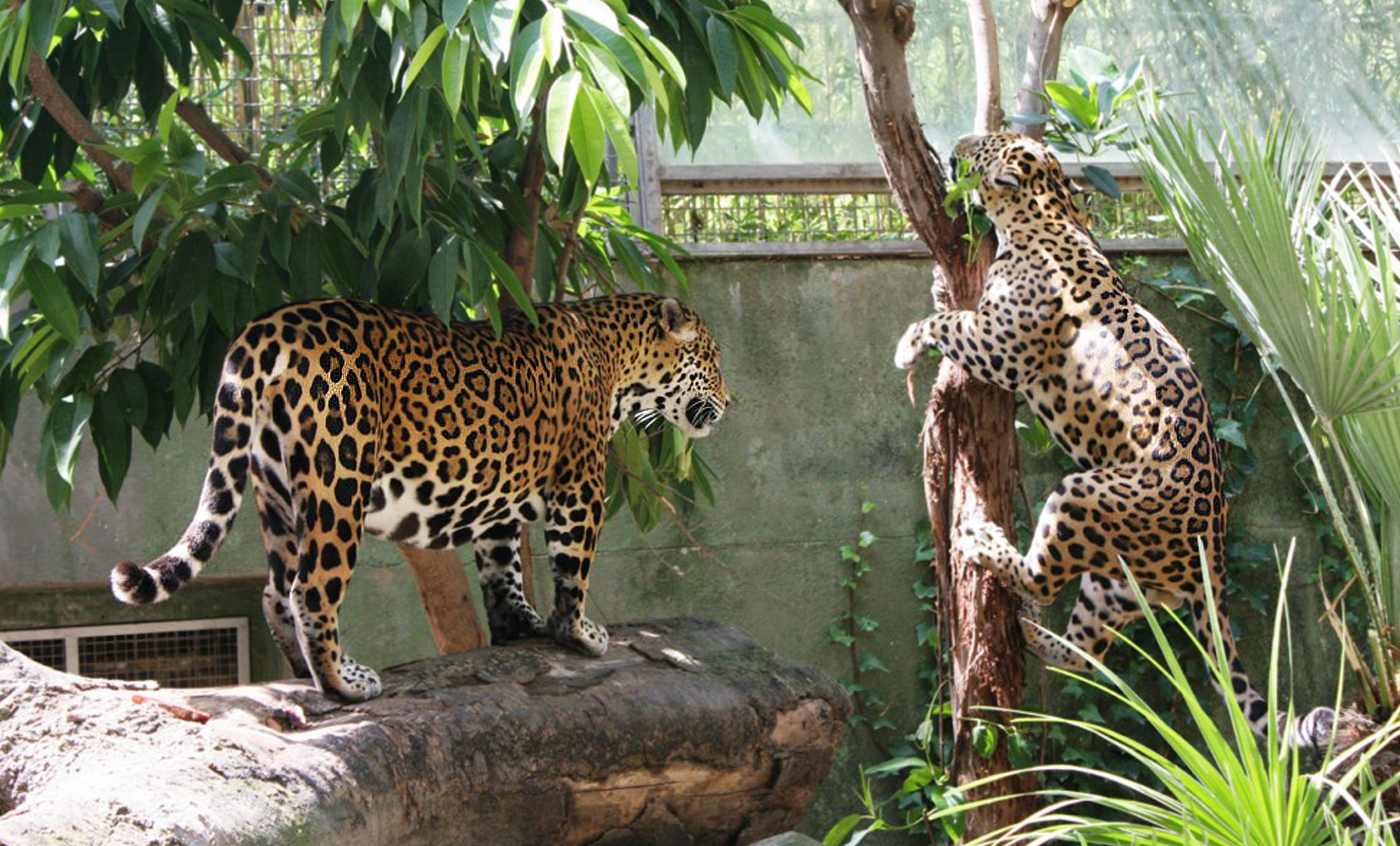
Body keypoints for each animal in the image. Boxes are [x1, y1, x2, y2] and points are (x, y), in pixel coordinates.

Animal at [111, 293, 729, 702]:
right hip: (339, 479)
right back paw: (345, 682)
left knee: (273, 591)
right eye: (714, 359)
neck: (618, 357)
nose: (730, 401)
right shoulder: (580, 482)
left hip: (275, 489)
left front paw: (519, 626)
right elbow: (573, 565)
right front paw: (579, 633)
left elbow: (501, 567)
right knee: (310, 589)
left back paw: (304, 674)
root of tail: (265, 328)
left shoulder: (497, 495)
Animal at [894, 132, 1333, 743]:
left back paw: (985, 544)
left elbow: (950, 324)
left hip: (1083, 496)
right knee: (1088, 654)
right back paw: (1032, 635)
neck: (1050, 210)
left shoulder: (1000, 346)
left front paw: (909, 342)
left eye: (982, 146)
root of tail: (1211, 560)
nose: (956, 145)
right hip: (1114, 582)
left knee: (1043, 582)